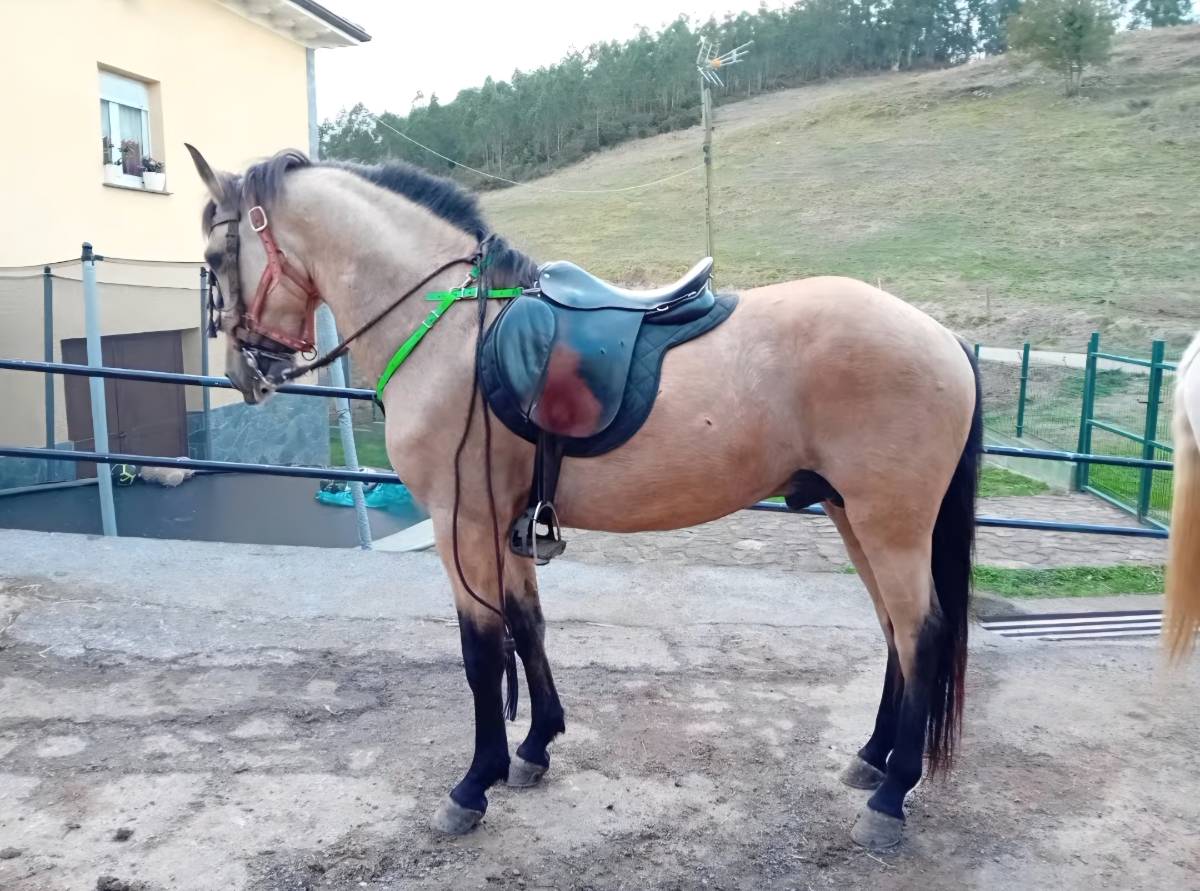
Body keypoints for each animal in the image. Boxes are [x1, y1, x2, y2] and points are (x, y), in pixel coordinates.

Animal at [185, 144, 981, 851]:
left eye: (216, 259)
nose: (243, 373)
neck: (452, 331)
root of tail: (942, 337)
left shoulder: (459, 522)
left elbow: (481, 650)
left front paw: (473, 785)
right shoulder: (505, 521)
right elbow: (527, 625)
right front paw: (535, 747)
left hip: (889, 523)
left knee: (920, 633)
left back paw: (890, 796)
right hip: (854, 516)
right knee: (893, 631)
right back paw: (872, 759)